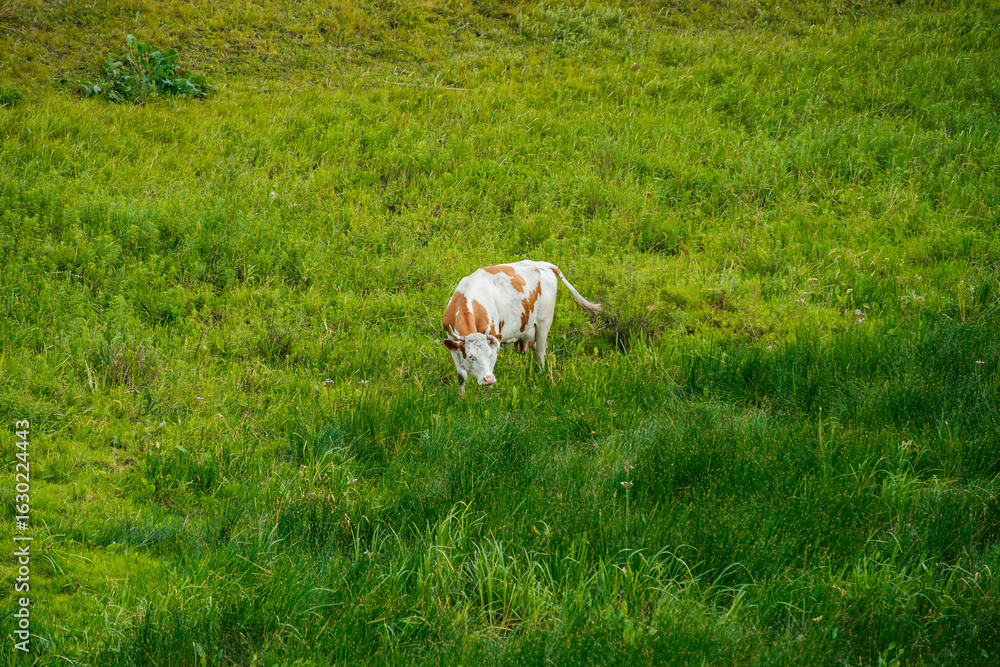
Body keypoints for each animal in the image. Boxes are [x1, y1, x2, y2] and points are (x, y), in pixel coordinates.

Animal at [442, 260, 602, 394]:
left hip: (544, 322)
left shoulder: (493, 339)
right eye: (471, 356)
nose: (488, 379)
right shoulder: (453, 344)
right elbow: (461, 375)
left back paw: (540, 375)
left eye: (489, 354)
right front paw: (462, 396)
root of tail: (543, 264)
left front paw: (490, 393)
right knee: (538, 348)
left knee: (540, 352)